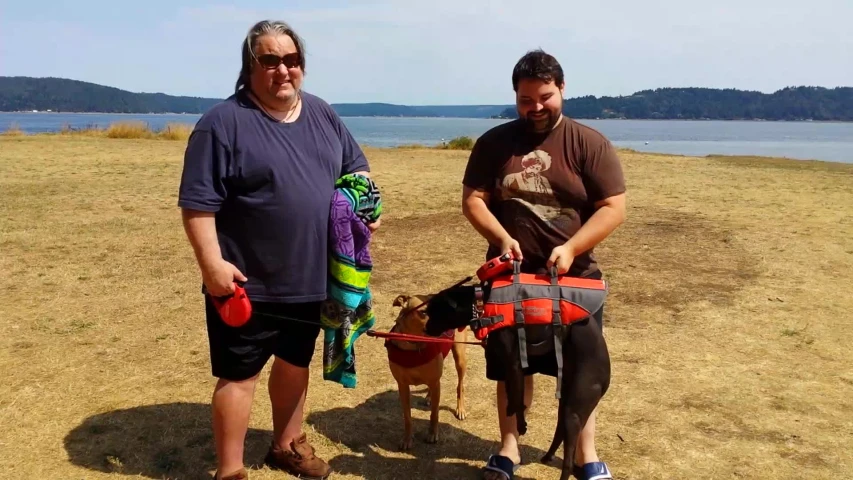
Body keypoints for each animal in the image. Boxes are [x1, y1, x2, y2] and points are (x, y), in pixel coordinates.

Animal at [390, 292, 470, 450]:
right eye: (423, 312)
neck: (414, 345)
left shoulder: (435, 381)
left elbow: (434, 414)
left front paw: (432, 434)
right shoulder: (402, 386)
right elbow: (407, 417)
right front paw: (407, 439)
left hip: (459, 357)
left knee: (460, 386)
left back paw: (460, 409)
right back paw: (428, 397)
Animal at [422, 282, 608, 480]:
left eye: (435, 312)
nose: (425, 330)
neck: (481, 301)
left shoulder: (514, 364)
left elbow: (517, 402)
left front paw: (521, 425)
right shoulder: (513, 369)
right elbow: (514, 401)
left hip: (574, 411)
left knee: (568, 460)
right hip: (565, 404)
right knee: (559, 432)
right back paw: (547, 456)